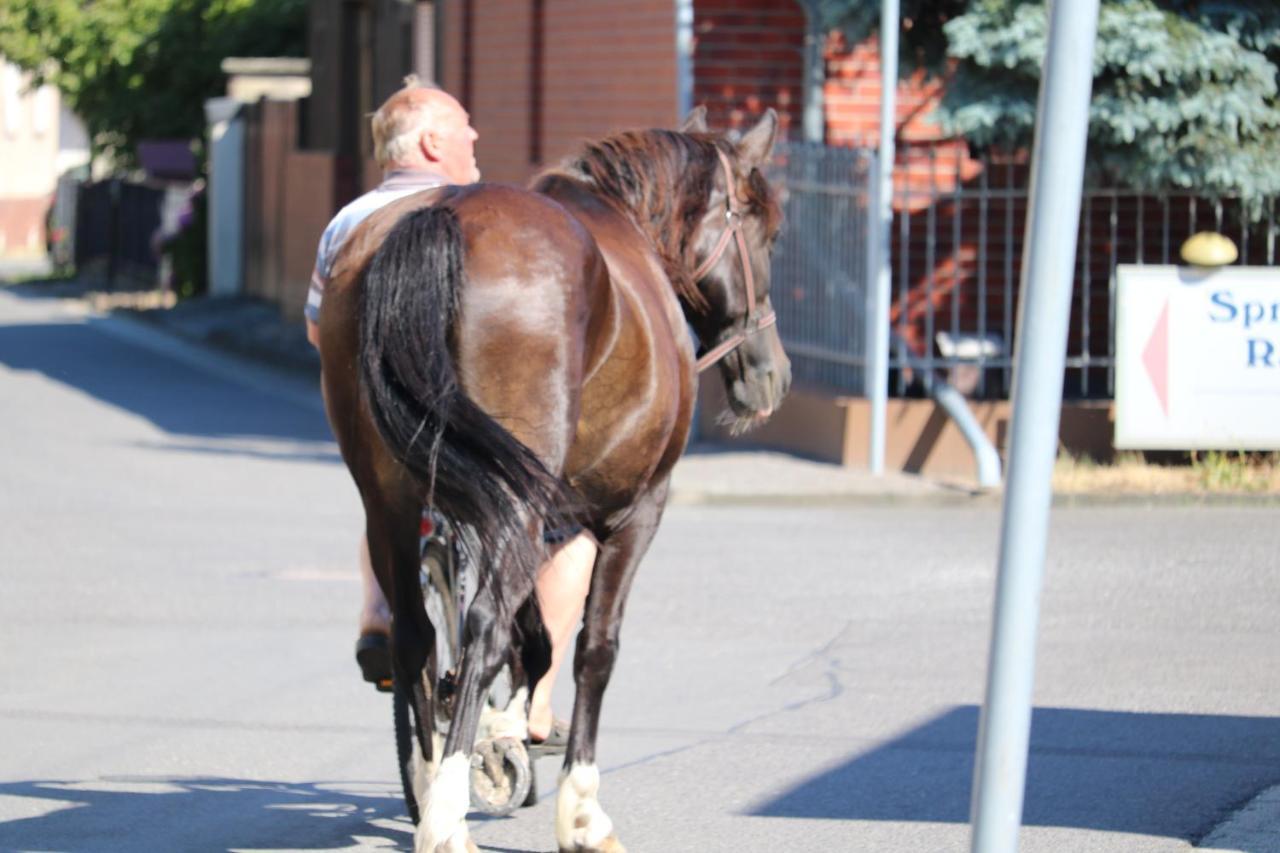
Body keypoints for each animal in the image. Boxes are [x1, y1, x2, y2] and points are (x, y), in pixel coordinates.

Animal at [314, 108, 783, 850]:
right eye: (766, 230)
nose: (771, 372)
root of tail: (441, 215)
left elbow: (531, 636)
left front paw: (506, 732)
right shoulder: (633, 512)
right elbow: (594, 645)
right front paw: (581, 810)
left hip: (391, 499)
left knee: (417, 636)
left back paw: (433, 787)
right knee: (480, 628)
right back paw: (448, 817)